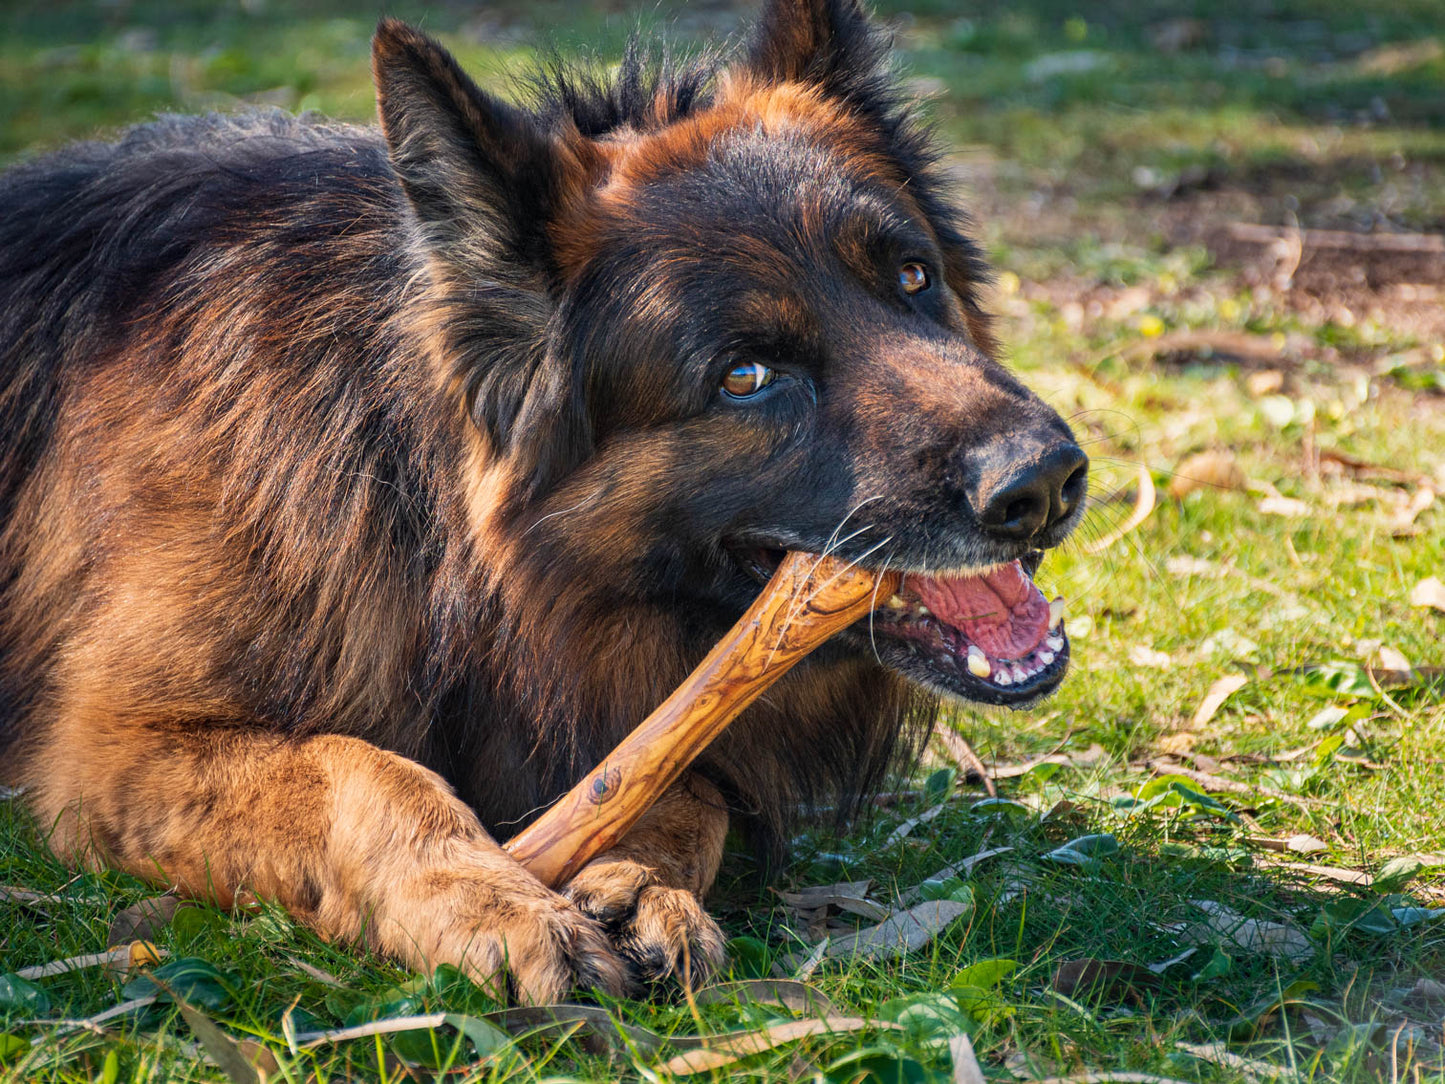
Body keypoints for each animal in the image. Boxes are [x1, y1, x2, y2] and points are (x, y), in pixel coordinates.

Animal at [0, 0, 1086, 1000]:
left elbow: (676, 782)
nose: (1044, 482)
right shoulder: (117, 746)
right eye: (744, 376)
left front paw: (636, 878)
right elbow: (362, 773)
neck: (434, 533)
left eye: (912, 276)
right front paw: (492, 900)